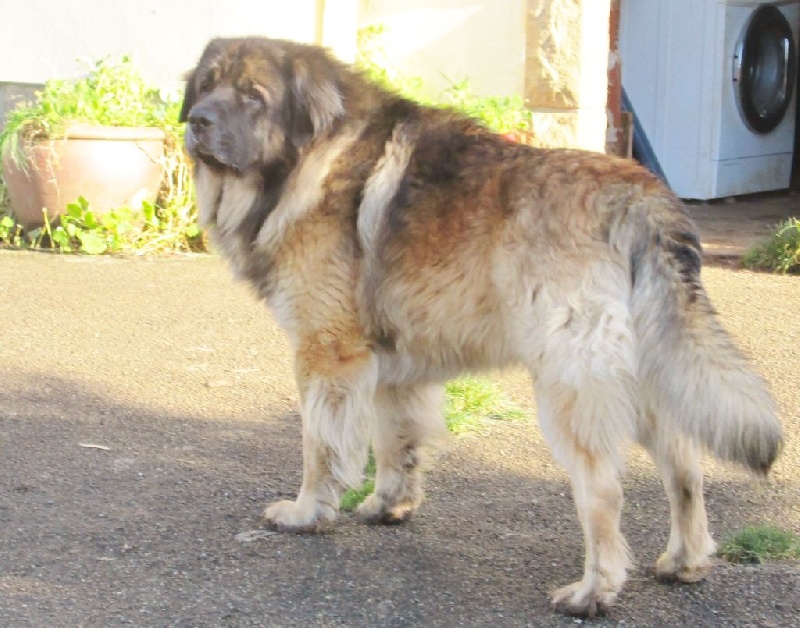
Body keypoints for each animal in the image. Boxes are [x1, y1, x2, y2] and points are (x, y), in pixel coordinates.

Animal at [180, 38, 780, 612]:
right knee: (685, 467)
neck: (311, 156)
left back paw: (594, 591)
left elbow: (320, 447)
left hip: (570, 387)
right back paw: (685, 560)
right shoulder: (393, 366)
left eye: (252, 95)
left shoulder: (327, 354)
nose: (197, 122)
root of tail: (637, 196)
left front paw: (306, 511)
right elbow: (396, 441)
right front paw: (388, 503)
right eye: (206, 87)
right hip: (650, 373)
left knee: (604, 492)